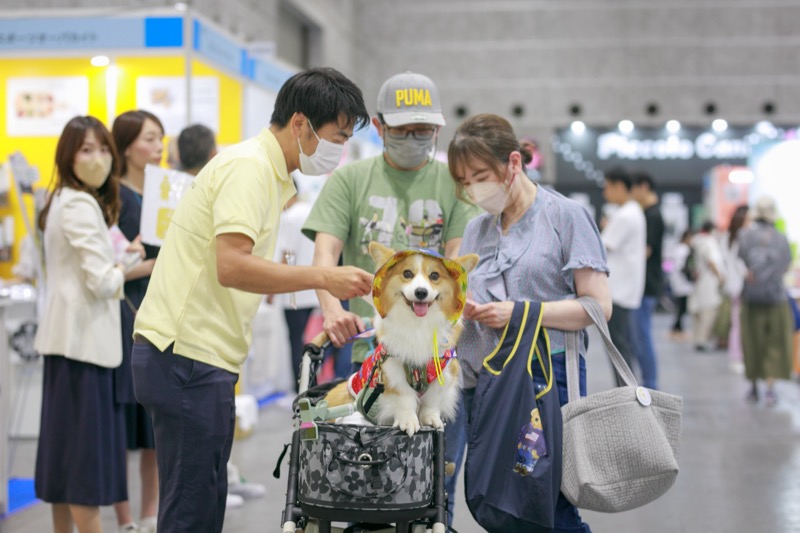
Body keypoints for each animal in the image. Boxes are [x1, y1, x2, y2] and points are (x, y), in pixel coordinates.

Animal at [324, 243, 476, 434]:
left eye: (434, 276)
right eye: (407, 274)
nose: (421, 292)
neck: (418, 325)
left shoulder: (444, 370)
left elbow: (432, 401)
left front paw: (430, 420)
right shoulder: (392, 369)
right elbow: (404, 400)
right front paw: (408, 422)